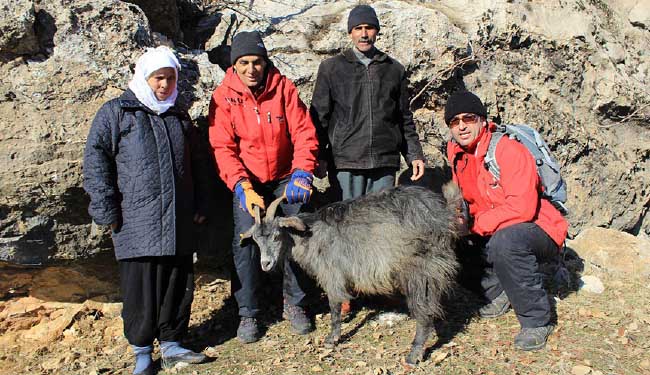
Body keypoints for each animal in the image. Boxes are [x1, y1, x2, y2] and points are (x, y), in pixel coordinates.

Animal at [240, 184, 458, 364]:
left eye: (277, 236)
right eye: (256, 240)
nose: (265, 264)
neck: (310, 234)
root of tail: (441, 213)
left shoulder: (332, 273)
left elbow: (334, 306)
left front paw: (332, 338)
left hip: (420, 270)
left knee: (424, 312)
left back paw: (413, 355)